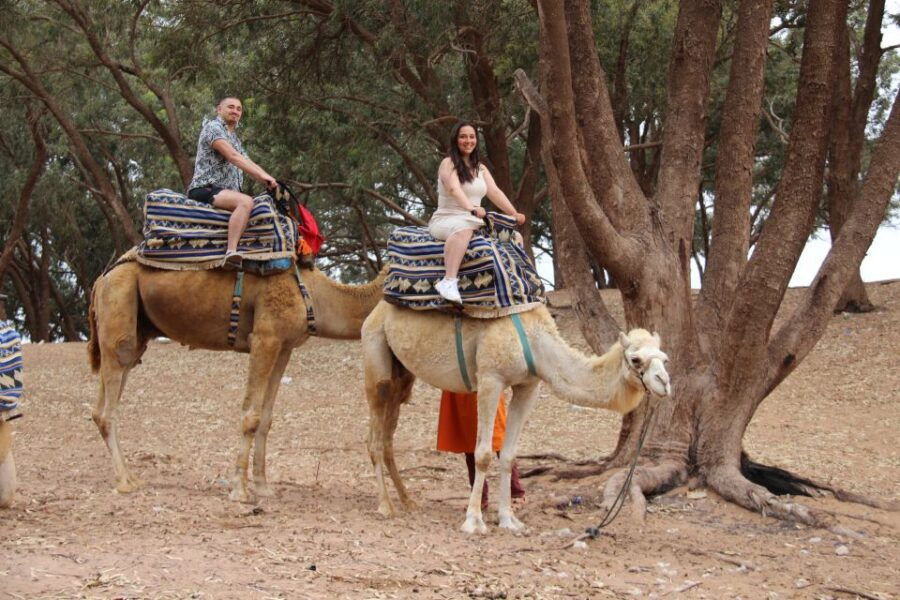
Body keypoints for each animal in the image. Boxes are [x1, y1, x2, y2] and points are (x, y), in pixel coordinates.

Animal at [88, 261, 385, 502]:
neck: (314, 296)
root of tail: (101, 279)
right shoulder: (265, 338)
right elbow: (251, 416)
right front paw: (239, 491)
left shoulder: (284, 347)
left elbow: (266, 418)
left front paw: (263, 487)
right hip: (119, 302)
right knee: (108, 404)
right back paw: (125, 482)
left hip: (138, 331)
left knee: (105, 398)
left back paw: (132, 477)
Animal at [362, 301, 671, 533]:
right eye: (636, 360)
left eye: (664, 358)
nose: (664, 383)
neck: (537, 344)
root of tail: (375, 310)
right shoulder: (491, 379)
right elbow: (484, 453)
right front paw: (474, 521)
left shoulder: (528, 385)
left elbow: (508, 455)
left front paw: (509, 520)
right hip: (376, 351)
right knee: (376, 428)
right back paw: (385, 505)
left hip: (403, 374)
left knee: (387, 434)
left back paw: (408, 501)